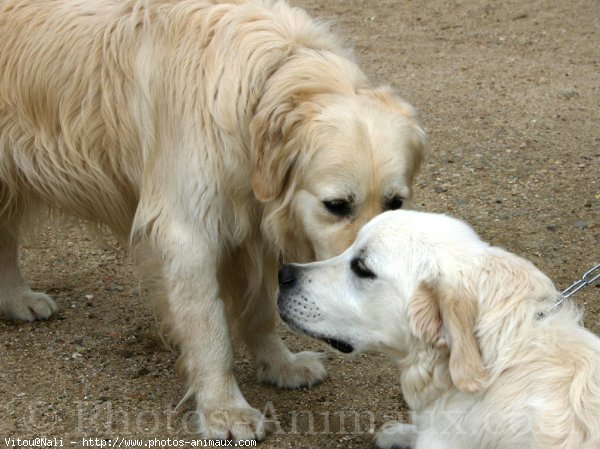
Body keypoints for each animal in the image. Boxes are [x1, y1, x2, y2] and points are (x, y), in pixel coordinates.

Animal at [0, 0, 424, 440]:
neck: (264, 80)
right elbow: (211, 330)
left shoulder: (256, 228)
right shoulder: (188, 235)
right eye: (337, 205)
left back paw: (17, 300)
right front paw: (225, 411)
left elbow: (261, 309)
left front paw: (280, 365)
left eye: (395, 204)